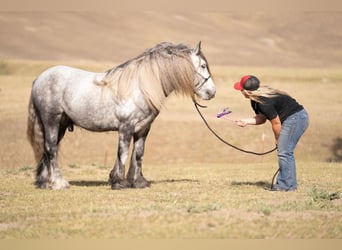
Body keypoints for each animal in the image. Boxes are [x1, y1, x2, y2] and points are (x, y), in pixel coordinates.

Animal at [26, 41, 215, 189]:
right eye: (203, 66)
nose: (212, 92)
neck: (140, 87)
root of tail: (39, 79)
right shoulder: (126, 126)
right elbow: (122, 153)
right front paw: (119, 182)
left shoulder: (143, 129)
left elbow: (138, 154)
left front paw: (138, 182)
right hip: (52, 120)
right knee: (51, 148)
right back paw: (59, 183)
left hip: (61, 125)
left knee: (48, 149)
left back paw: (44, 182)